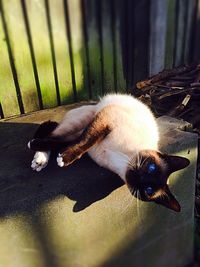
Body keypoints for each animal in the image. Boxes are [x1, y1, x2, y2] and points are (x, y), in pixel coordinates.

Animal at [27, 94, 189, 214]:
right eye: (151, 167)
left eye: (148, 190)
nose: (140, 176)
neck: (120, 163)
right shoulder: (106, 121)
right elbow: (84, 142)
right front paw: (63, 159)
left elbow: (69, 145)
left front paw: (62, 157)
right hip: (80, 122)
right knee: (52, 134)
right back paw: (38, 156)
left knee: (57, 139)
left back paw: (39, 159)